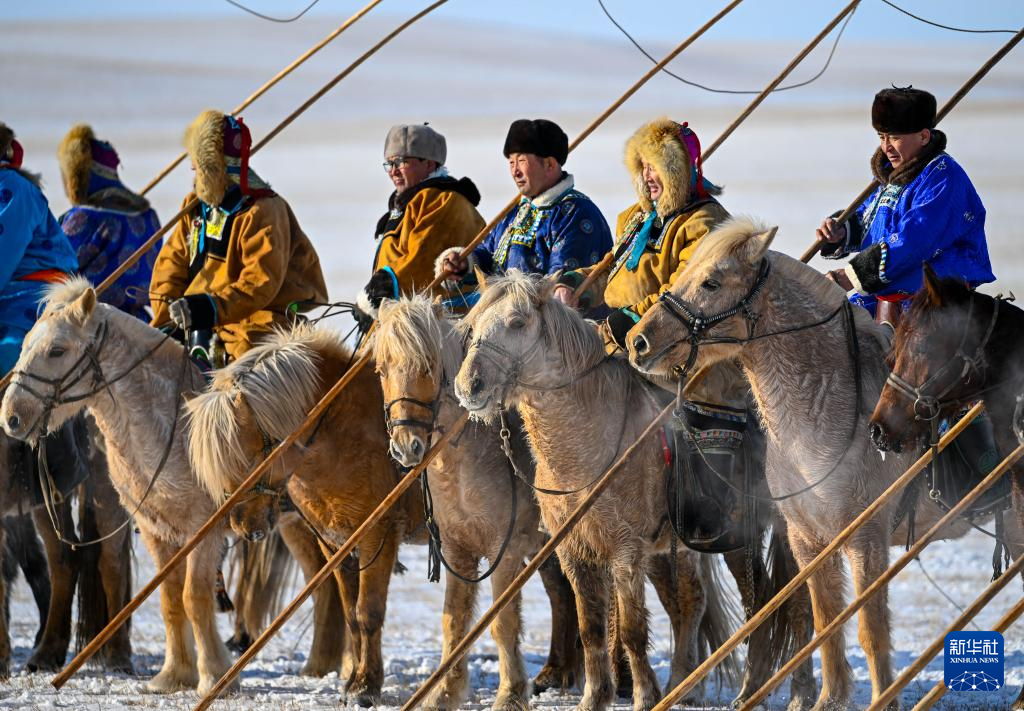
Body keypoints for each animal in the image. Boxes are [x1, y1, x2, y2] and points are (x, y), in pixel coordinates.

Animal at [187, 327, 419, 708]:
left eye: (244, 459)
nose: (242, 526)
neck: (343, 428)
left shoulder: (377, 535)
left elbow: (368, 612)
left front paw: (366, 686)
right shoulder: (335, 542)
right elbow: (350, 613)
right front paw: (353, 681)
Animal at [374, 293, 585, 708]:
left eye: (427, 366)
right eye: (381, 370)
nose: (406, 447)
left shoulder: (504, 551)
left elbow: (503, 623)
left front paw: (510, 693)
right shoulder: (459, 551)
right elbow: (454, 621)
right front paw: (445, 692)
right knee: (564, 595)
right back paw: (561, 672)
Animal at [452, 272, 811, 711]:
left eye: (517, 322)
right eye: (472, 326)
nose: (469, 386)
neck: (588, 442)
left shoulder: (625, 551)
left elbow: (631, 630)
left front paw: (642, 696)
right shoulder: (575, 551)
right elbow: (591, 629)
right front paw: (595, 697)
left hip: (751, 537)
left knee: (780, 602)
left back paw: (774, 691)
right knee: (692, 601)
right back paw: (684, 686)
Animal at [626, 218, 1019, 711]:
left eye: (711, 282)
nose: (638, 341)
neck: (820, 415)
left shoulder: (865, 537)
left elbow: (870, 629)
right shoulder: (808, 539)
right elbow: (825, 621)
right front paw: (828, 698)